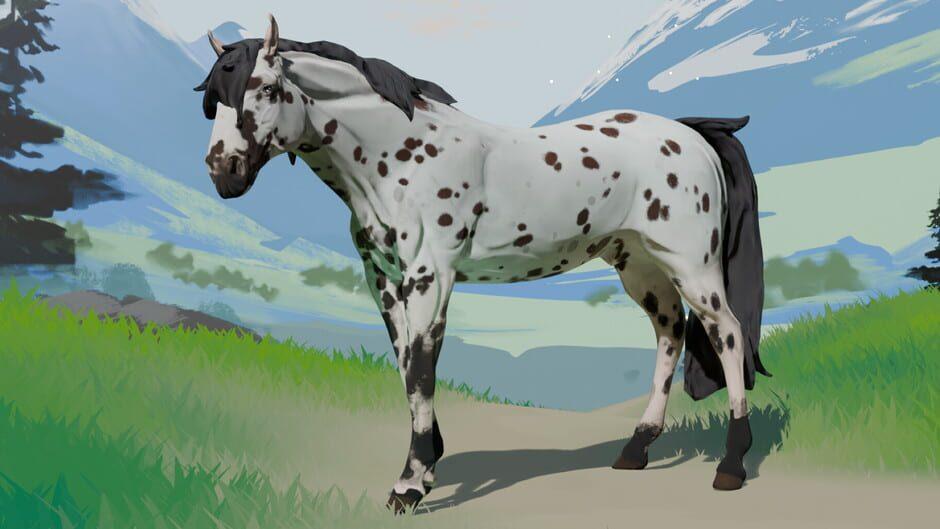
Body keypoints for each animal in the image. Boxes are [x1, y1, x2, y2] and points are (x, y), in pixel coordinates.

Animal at [196, 15, 770, 514]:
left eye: (266, 89)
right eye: (214, 100)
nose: (224, 171)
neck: (399, 157)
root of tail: (689, 134)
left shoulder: (429, 277)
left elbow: (422, 369)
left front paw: (409, 485)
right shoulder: (384, 280)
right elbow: (406, 366)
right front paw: (428, 464)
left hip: (691, 264)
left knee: (726, 333)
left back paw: (732, 465)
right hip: (639, 265)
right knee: (670, 333)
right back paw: (635, 450)